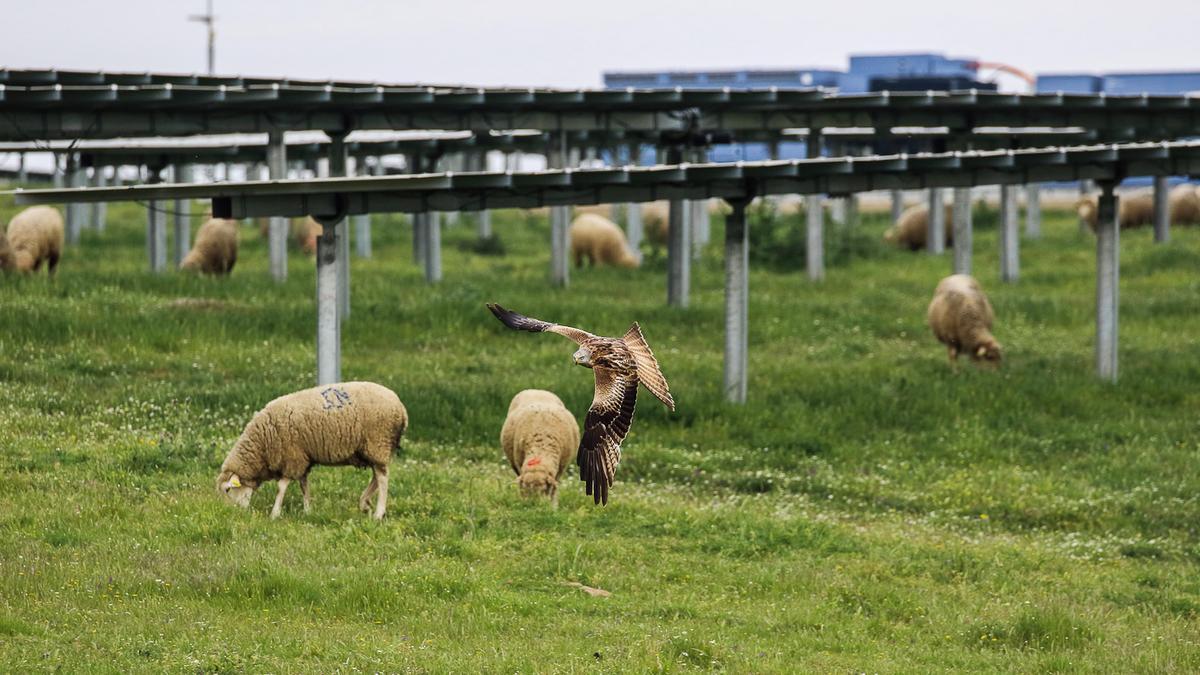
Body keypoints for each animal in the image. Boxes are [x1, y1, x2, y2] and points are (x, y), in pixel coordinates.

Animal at [220, 381, 412, 516]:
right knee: (377, 475)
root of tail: (401, 408)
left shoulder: (292, 457)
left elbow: (282, 486)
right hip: (372, 448)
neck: (263, 444)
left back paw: (379, 513)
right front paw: (307, 510)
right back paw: (364, 503)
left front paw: (275, 513)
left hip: (378, 442)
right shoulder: (302, 457)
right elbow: (304, 485)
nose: (229, 513)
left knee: (383, 478)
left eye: (228, 489)